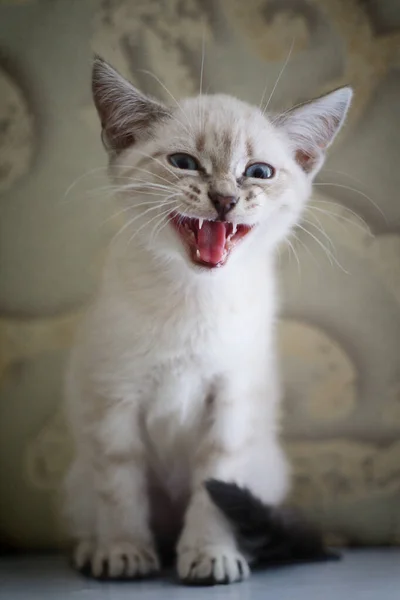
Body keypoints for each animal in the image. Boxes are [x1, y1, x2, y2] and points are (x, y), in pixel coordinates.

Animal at [61, 57, 350, 584]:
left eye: (258, 172)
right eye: (184, 163)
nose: (224, 199)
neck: (196, 296)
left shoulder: (232, 400)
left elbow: (213, 488)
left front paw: (210, 555)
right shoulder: (114, 398)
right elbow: (120, 487)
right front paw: (124, 552)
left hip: (266, 468)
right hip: (78, 480)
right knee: (103, 509)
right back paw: (100, 548)